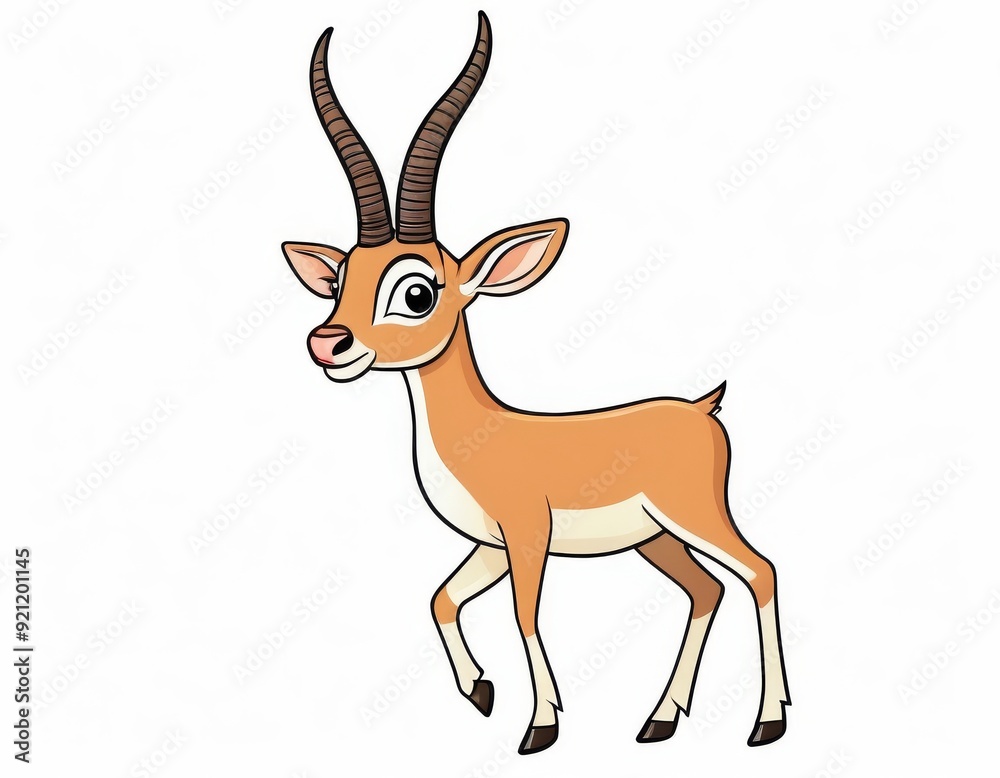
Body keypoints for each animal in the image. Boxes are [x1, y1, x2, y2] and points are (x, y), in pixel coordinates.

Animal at [283, 13, 790, 755]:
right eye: (342, 279)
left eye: (417, 291)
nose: (329, 342)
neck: (482, 434)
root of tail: (702, 408)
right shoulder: (489, 545)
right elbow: (441, 598)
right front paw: (481, 692)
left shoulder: (526, 535)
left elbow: (525, 616)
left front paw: (540, 726)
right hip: (656, 538)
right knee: (705, 591)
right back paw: (659, 721)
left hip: (697, 517)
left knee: (760, 573)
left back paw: (767, 722)